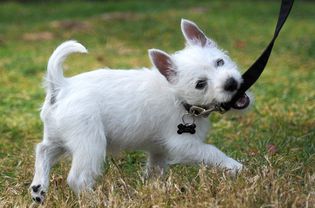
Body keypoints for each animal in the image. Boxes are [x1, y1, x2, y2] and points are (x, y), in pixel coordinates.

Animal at [29, 18, 252, 202]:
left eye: (219, 62)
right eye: (200, 84)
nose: (231, 83)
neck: (178, 96)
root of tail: (62, 85)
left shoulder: (159, 150)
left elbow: (155, 170)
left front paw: (152, 187)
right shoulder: (185, 145)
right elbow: (212, 152)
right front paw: (237, 167)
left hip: (59, 137)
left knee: (43, 150)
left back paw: (39, 188)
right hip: (90, 144)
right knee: (77, 178)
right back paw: (95, 199)